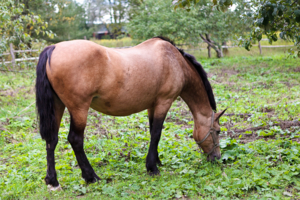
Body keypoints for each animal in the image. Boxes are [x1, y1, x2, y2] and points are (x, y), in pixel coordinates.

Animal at [35, 36, 225, 189]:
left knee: (52, 140)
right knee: (75, 140)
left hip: (58, 106)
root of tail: (53, 48)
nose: (217, 158)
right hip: (79, 109)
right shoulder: (164, 102)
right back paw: (91, 177)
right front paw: (152, 168)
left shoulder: (152, 105)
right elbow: (156, 133)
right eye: (217, 131)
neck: (174, 61)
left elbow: (153, 132)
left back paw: (53, 181)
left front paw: (156, 161)